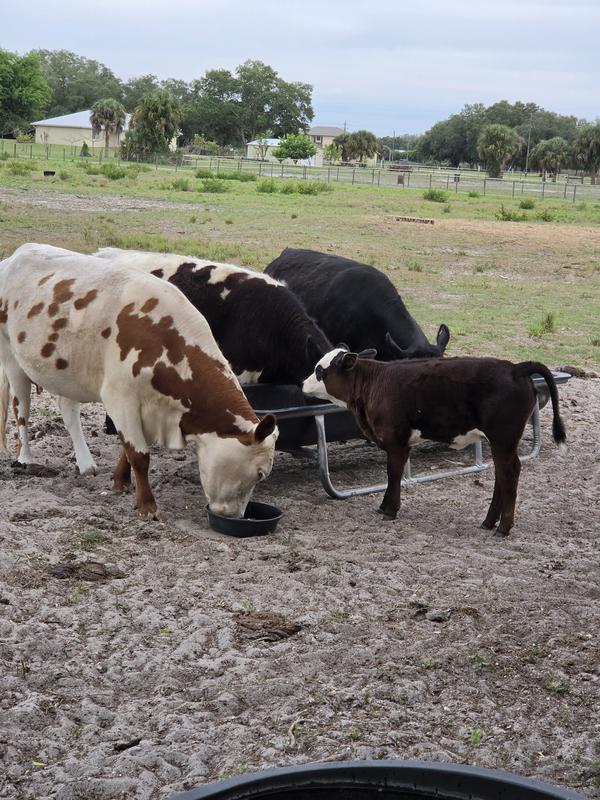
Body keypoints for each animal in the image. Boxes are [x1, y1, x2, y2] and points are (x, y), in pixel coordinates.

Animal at [0, 243, 278, 519]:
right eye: (259, 474)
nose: (235, 516)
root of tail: (15, 256)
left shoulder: (150, 406)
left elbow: (128, 450)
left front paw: (120, 481)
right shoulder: (120, 398)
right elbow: (139, 455)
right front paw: (147, 506)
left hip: (67, 374)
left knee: (69, 413)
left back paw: (85, 464)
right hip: (12, 361)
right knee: (21, 411)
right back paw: (25, 458)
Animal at [303, 348, 566, 535]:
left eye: (319, 370)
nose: (302, 384)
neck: (374, 382)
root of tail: (516, 367)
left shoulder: (396, 441)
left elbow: (393, 473)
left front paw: (390, 510)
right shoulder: (402, 443)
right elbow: (394, 475)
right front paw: (384, 506)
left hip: (503, 439)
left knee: (508, 474)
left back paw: (503, 527)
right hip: (502, 442)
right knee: (504, 474)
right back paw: (489, 521)